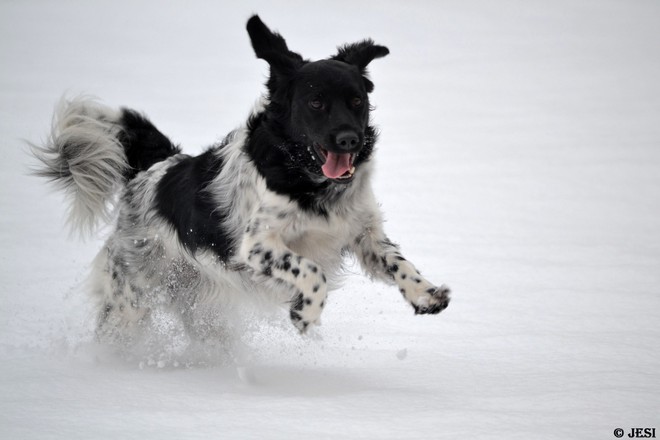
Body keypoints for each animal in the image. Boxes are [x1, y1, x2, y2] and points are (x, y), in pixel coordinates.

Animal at [33, 15, 452, 342]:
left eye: (356, 101)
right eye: (315, 102)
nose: (350, 139)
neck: (306, 179)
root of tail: (153, 169)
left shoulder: (363, 232)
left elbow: (398, 262)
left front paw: (427, 294)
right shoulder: (257, 244)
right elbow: (311, 270)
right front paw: (306, 313)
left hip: (199, 305)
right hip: (133, 297)